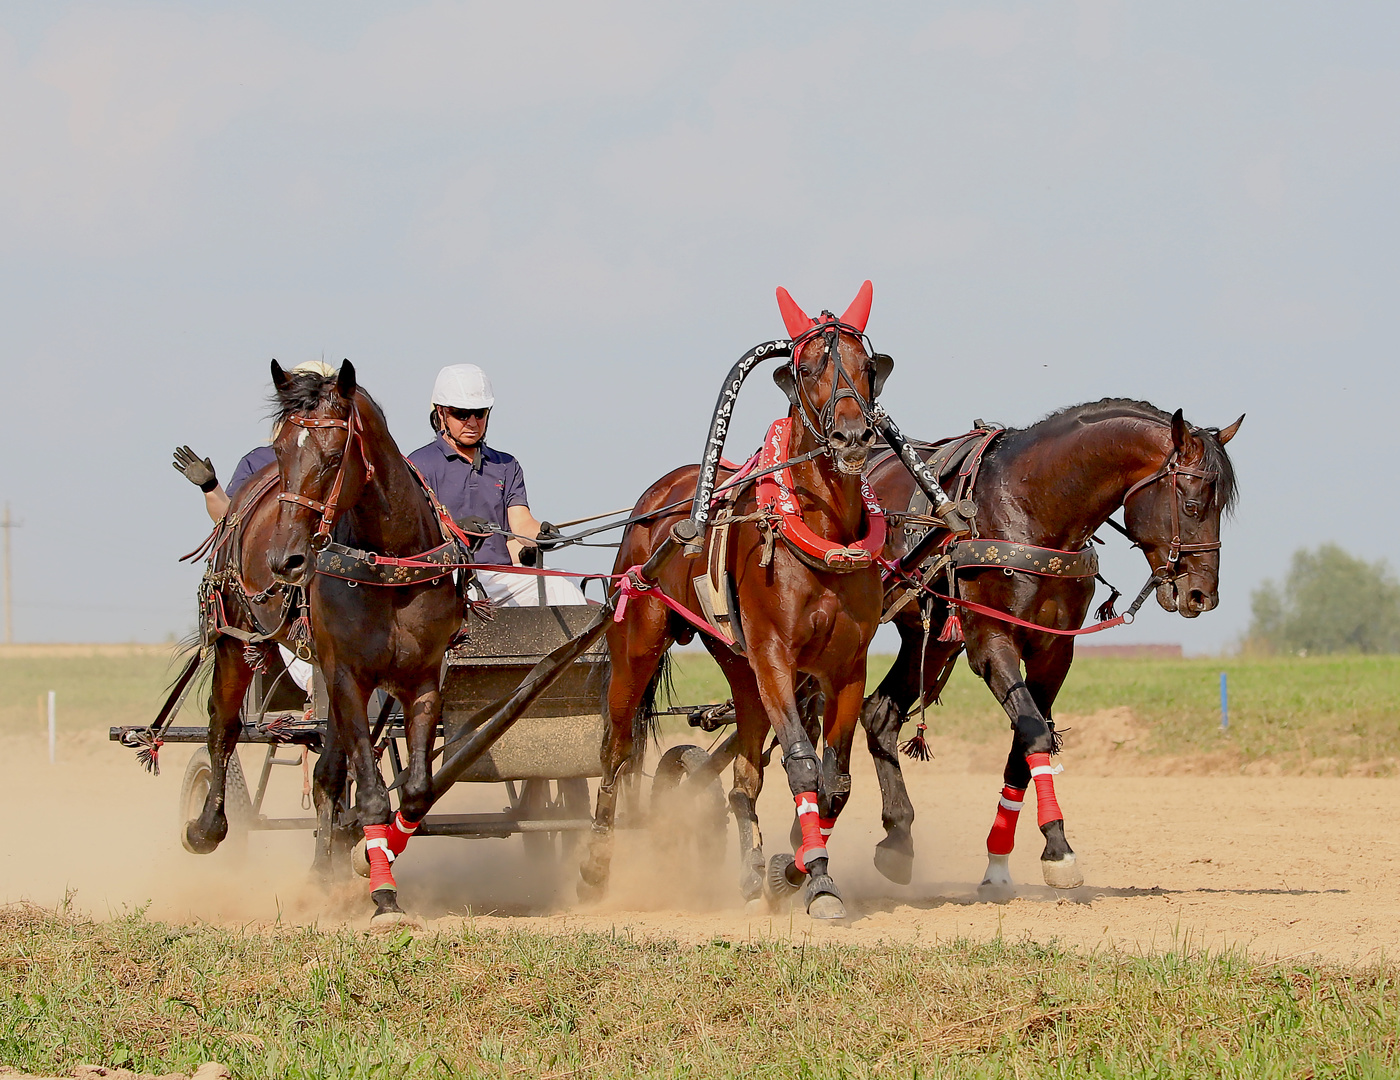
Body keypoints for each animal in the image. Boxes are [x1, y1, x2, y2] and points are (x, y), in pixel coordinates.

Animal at [582, 281, 890, 918]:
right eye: (808, 366)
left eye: (866, 367)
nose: (852, 436)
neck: (821, 532)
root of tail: (660, 497)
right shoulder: (775, 657)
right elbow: (802, 765)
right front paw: (817, 880)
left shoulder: (846, 667)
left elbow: (836, 782)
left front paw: (789, 869)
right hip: (638, 641)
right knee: (615, 748)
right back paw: (597, 865)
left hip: (739, 667)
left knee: (745, 774)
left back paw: (750, 870)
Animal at [856, 400, 1243, 890]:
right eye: (1192, 505)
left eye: (1220, 507)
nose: (1201, 595)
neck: (1028, 507)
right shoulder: (991, 641)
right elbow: (1035, 731)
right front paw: (1058, 848)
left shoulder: (1054, 653)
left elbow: (1023, 744)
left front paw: (1002, 860)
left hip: (932, 639)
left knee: (879, 714)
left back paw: (897, 837)